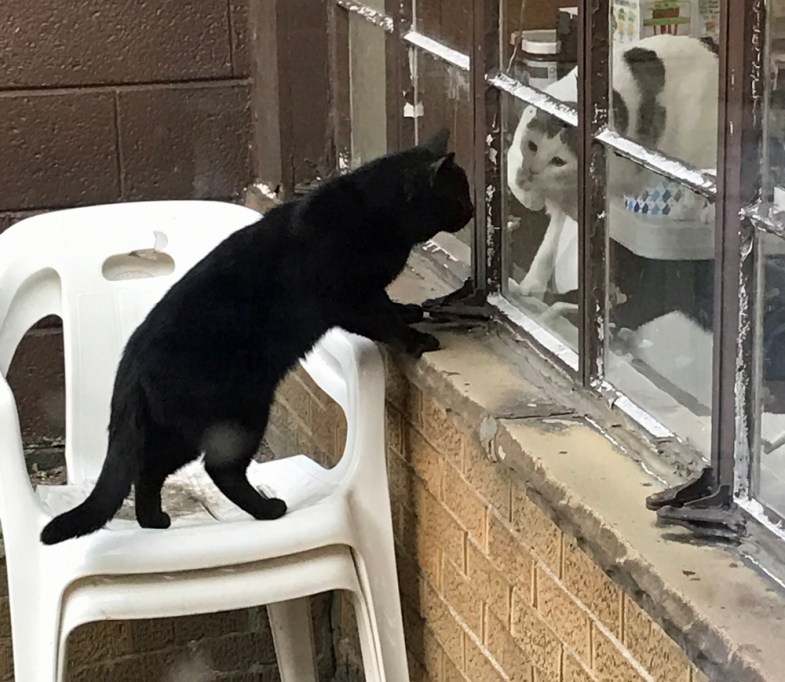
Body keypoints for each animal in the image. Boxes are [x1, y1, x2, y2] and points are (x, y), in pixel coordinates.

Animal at [40, 128, 474, 545]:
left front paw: (410, 310)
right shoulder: (351, 300)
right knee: (218, 468)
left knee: (150, 469)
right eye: (459, 194)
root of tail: (131, 358)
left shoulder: (367, 292)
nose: (471, 210)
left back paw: (154, 521)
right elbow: (383, 321)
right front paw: (417, 339)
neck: (377, 212)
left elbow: (389, 306)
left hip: (179, 430)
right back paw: (267, 509)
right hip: (239, 414)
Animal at [506, 34, 719, 298]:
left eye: (558, 161)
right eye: (532, 146)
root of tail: (708, 46)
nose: (533, 171)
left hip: (699, 147)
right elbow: (515, 176)